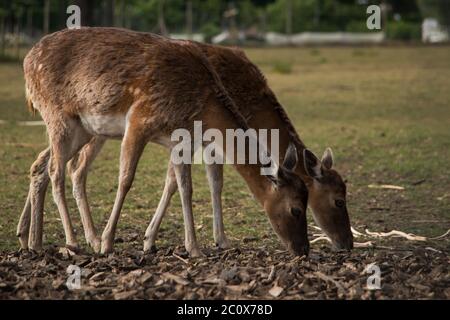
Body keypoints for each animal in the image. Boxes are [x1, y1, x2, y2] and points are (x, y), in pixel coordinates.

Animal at [19, 27, 312, 258]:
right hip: (57, 116)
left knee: (44, 166)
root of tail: (27, 60)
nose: (304, 250)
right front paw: (107, 243)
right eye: (296, 210)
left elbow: (184, 187)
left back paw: (34, 242)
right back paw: (74, 242)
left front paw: (194, 248)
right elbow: (126, 180)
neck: (203, 107)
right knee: (57, 171)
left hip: (82, 128)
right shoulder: (139, 119)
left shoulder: (182, 142)